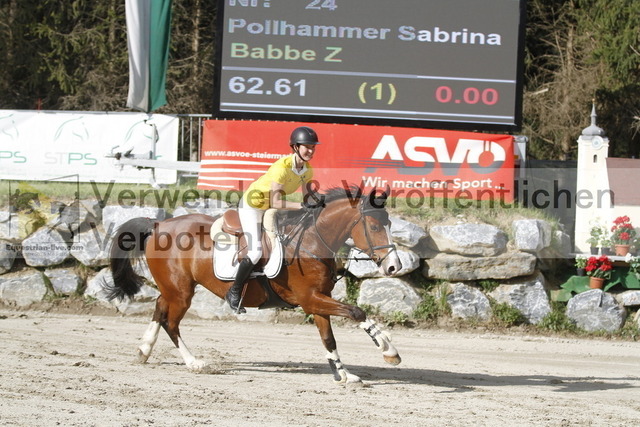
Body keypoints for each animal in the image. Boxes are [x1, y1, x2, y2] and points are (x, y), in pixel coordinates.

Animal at [104, 185, 403, 384]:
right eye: (375, 227)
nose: (394, 267)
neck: (312, 242)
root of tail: (158, 225)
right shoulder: (310, 299)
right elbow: (357, 312)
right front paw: (389, 350)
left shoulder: (318, 300)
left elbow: (329, 338)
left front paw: (343, 374)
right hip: (181, 292)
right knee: (171, 323)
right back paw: (195, 363)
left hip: (174, 288)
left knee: (159, 307)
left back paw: (144, 350)